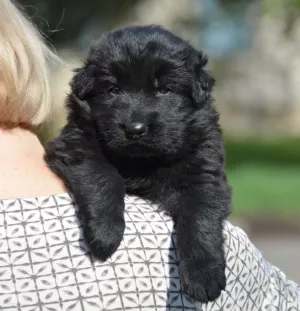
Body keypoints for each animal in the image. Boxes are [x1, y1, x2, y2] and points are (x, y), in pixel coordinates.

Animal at [45, 25, 232, 304]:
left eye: (164, 89)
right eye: (113, 89)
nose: (135, 129)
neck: (142, 161)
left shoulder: (203, 169)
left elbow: (200, 216)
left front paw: (203, 275)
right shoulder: (76, 143)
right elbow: (104, 177)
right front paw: (105, 233)